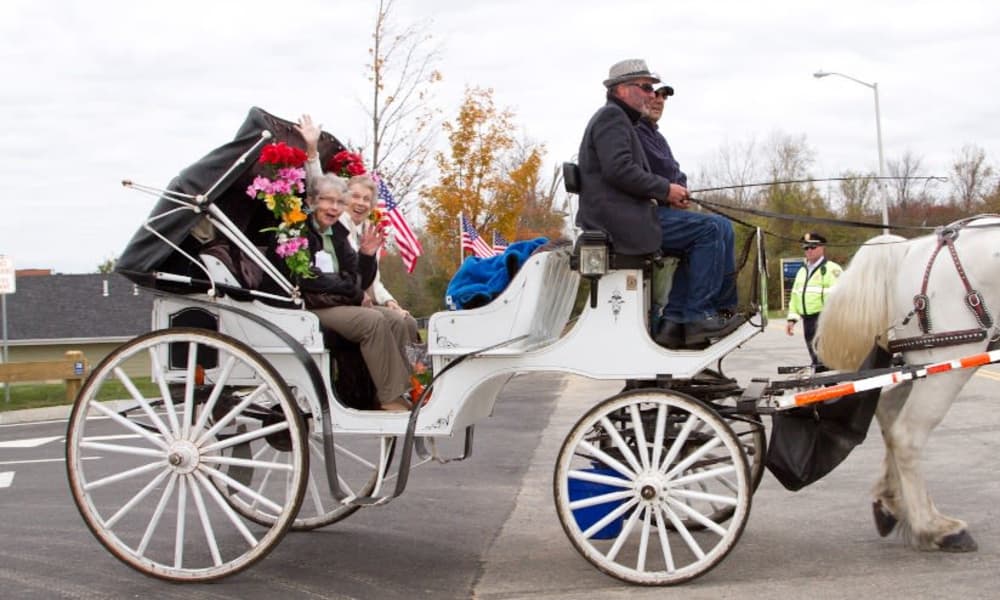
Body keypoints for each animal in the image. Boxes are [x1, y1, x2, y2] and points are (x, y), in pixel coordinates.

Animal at [812, 217, 1000, 552]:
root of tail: (910, 250)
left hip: (926, 366)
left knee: (889, 411)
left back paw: (893, 505)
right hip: (950, 360)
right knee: (907, 434)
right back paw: (935, 528)